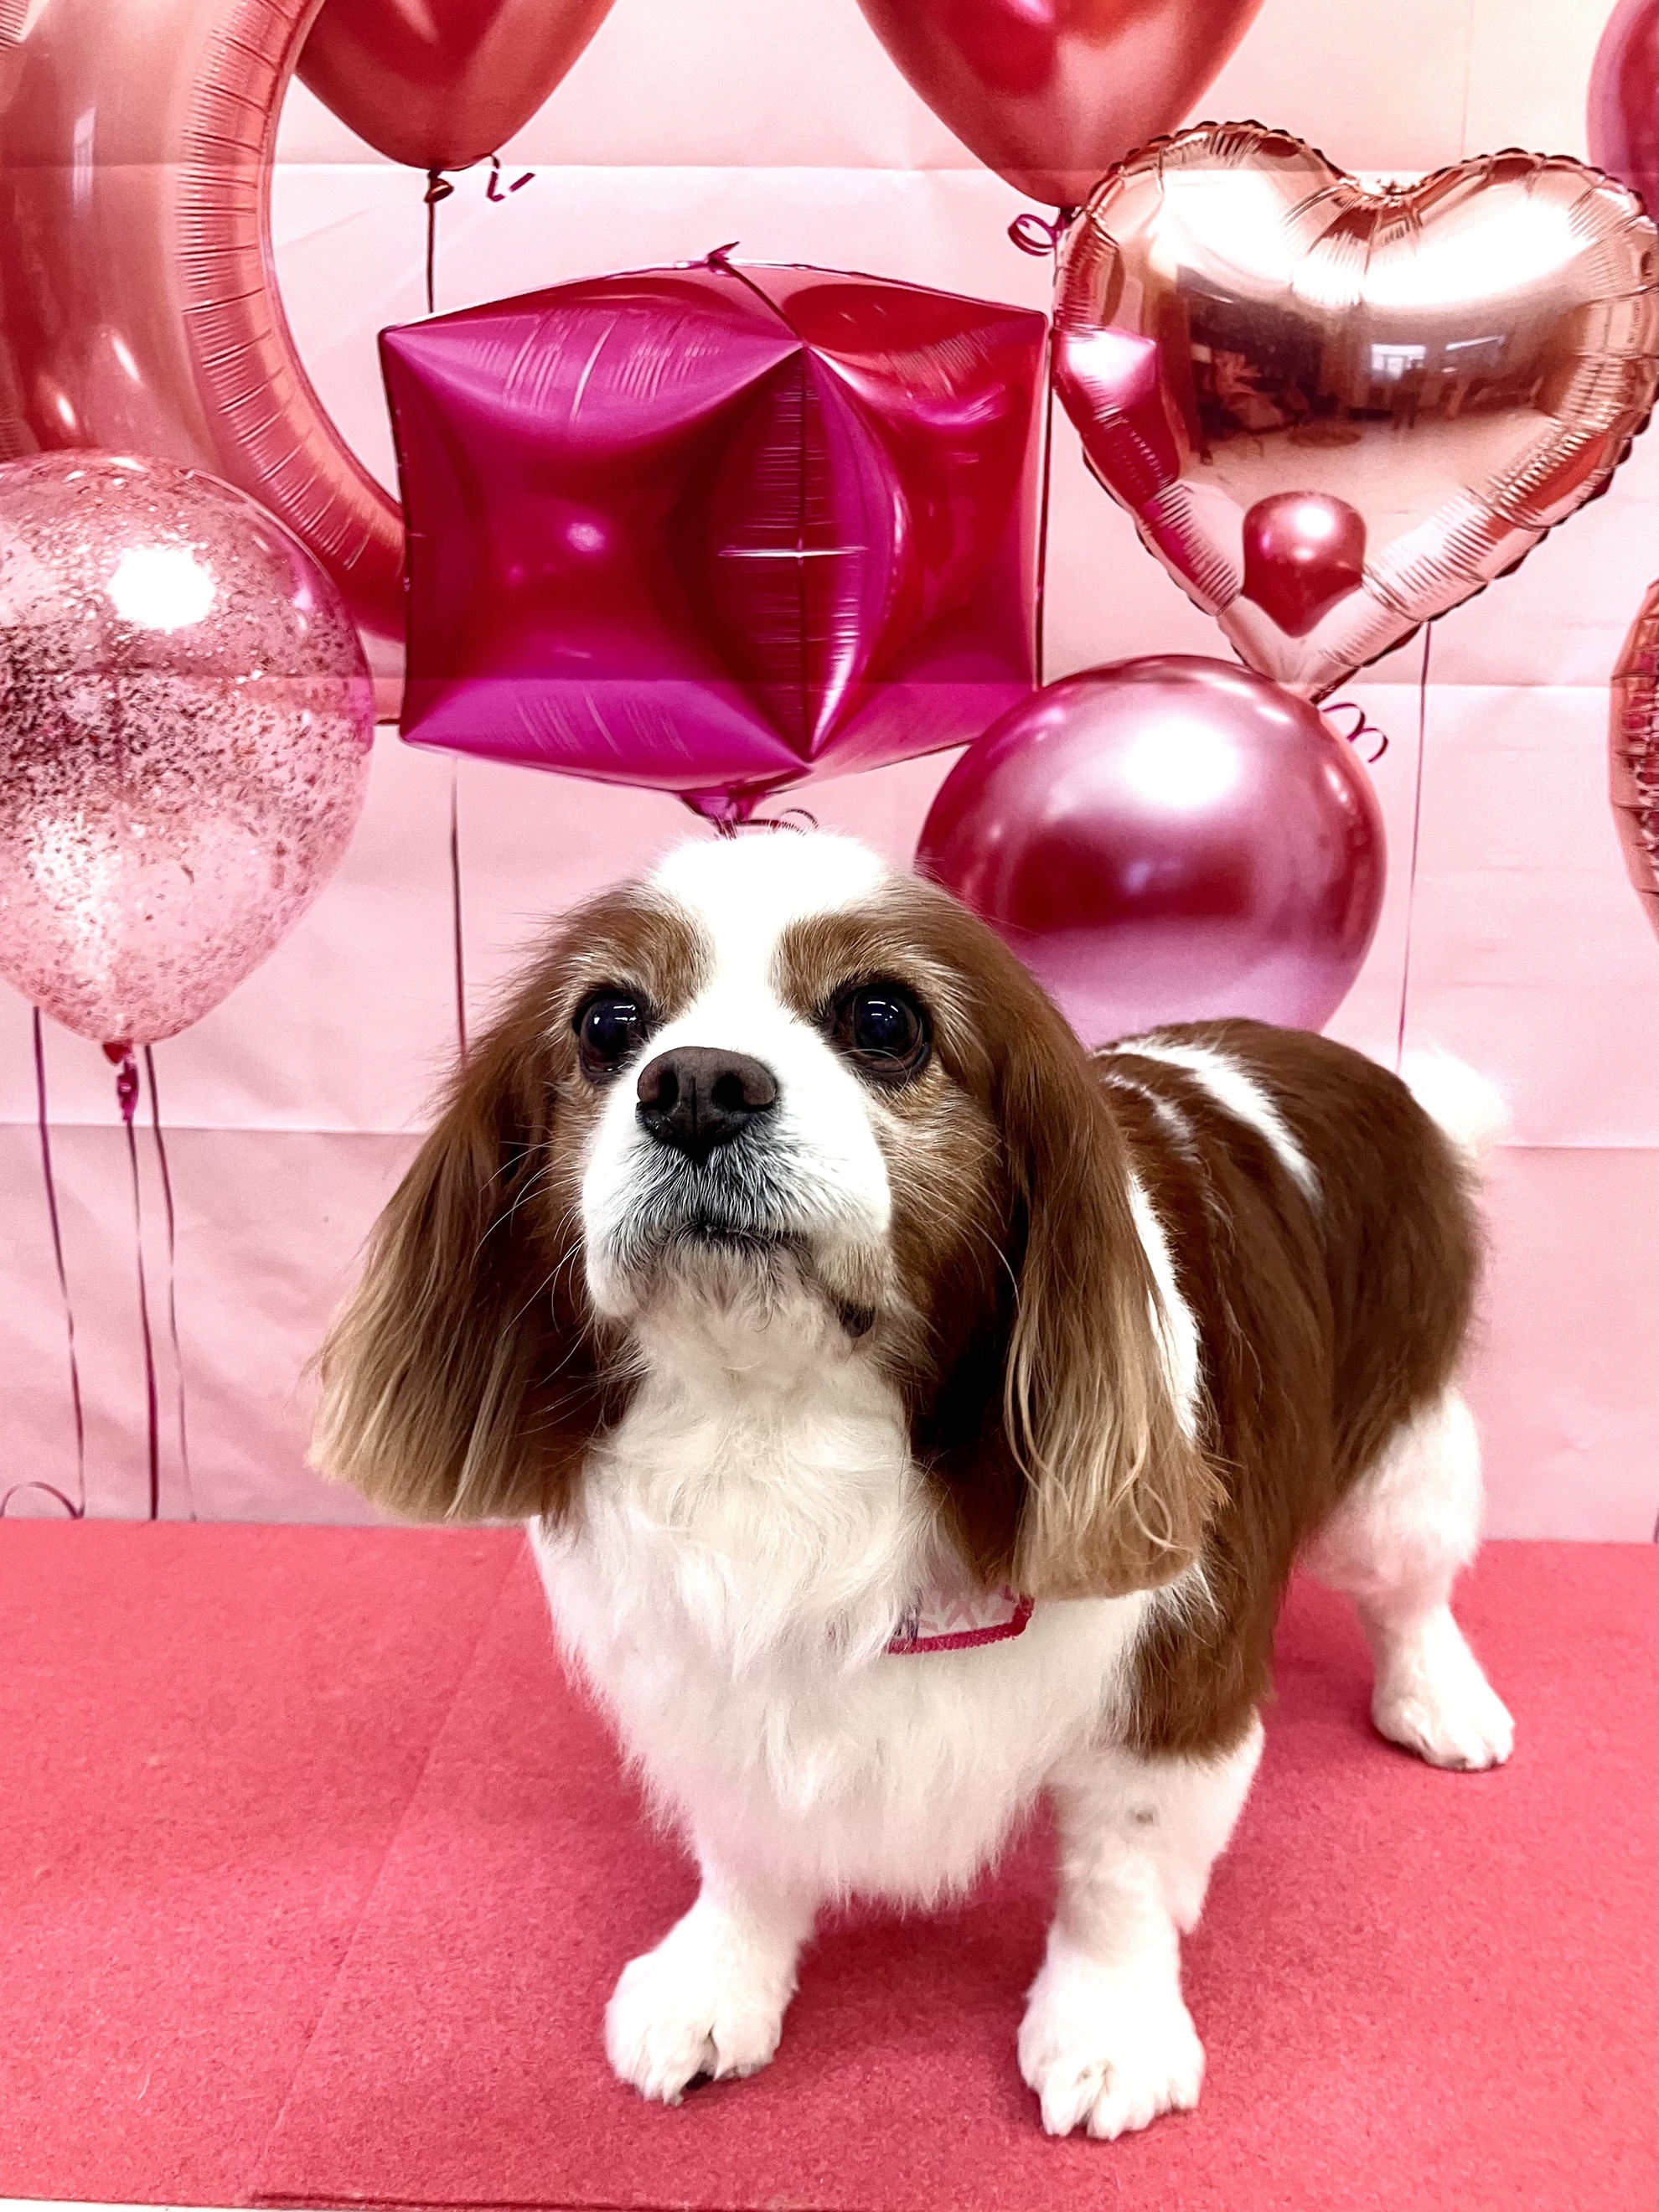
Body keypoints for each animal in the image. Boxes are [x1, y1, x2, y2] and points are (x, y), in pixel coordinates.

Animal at [314, 827, 1514, 2140]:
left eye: (884, 1019)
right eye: (607, 1022)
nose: (696, 1086)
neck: (780, 1426)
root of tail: (1362, 1073)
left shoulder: (1180, 1675)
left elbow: (1122, 1872)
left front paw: (1109, 2030)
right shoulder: (715, 1680)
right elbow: (745, 1847)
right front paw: (718, 1979)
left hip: (1397, 1457)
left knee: (1409, 1587)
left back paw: (1442, 1698)